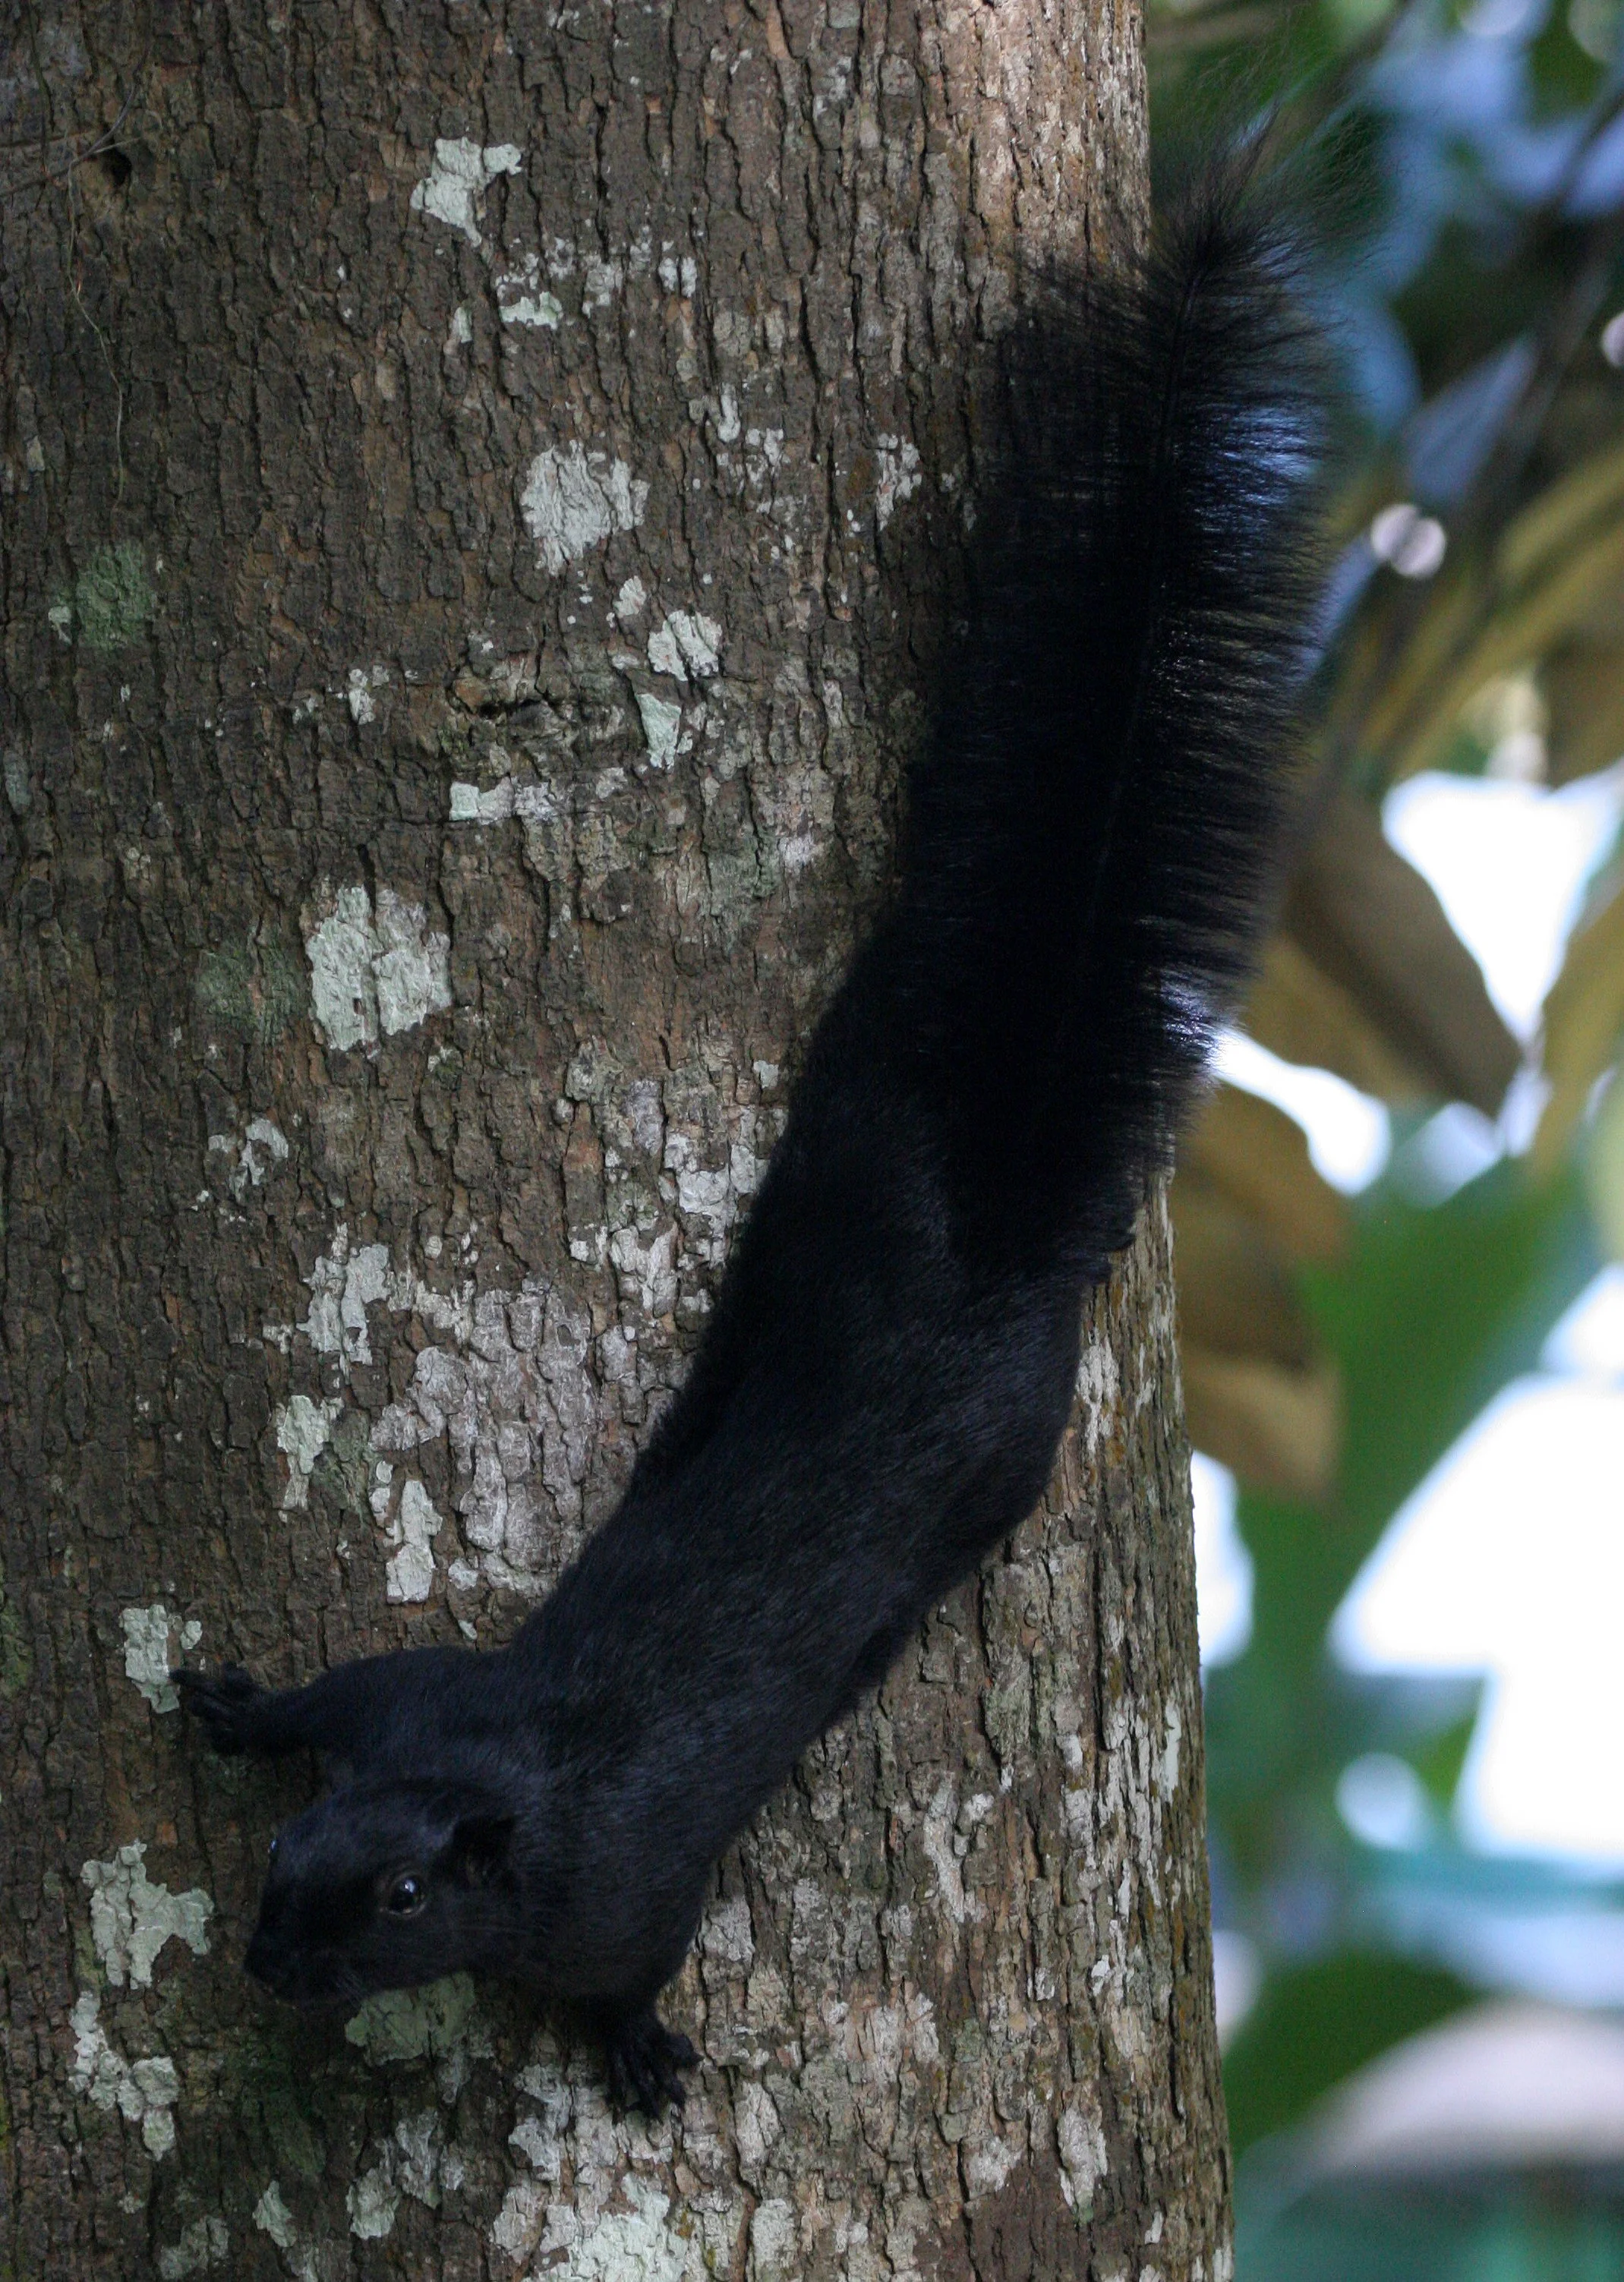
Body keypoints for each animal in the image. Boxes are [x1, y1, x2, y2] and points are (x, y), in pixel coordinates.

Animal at [176, 178, 1324, 2118]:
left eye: (399, 1899)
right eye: (282, 1861)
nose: (269, 1963)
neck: (503, 1782)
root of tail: (985, 1223)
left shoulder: (620, 1881)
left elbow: (634, 1962)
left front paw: (638, 2052)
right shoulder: (413, 1701)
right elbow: (339, 1685)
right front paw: (234, 1706)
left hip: (987, 1427)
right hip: (836, 1163)